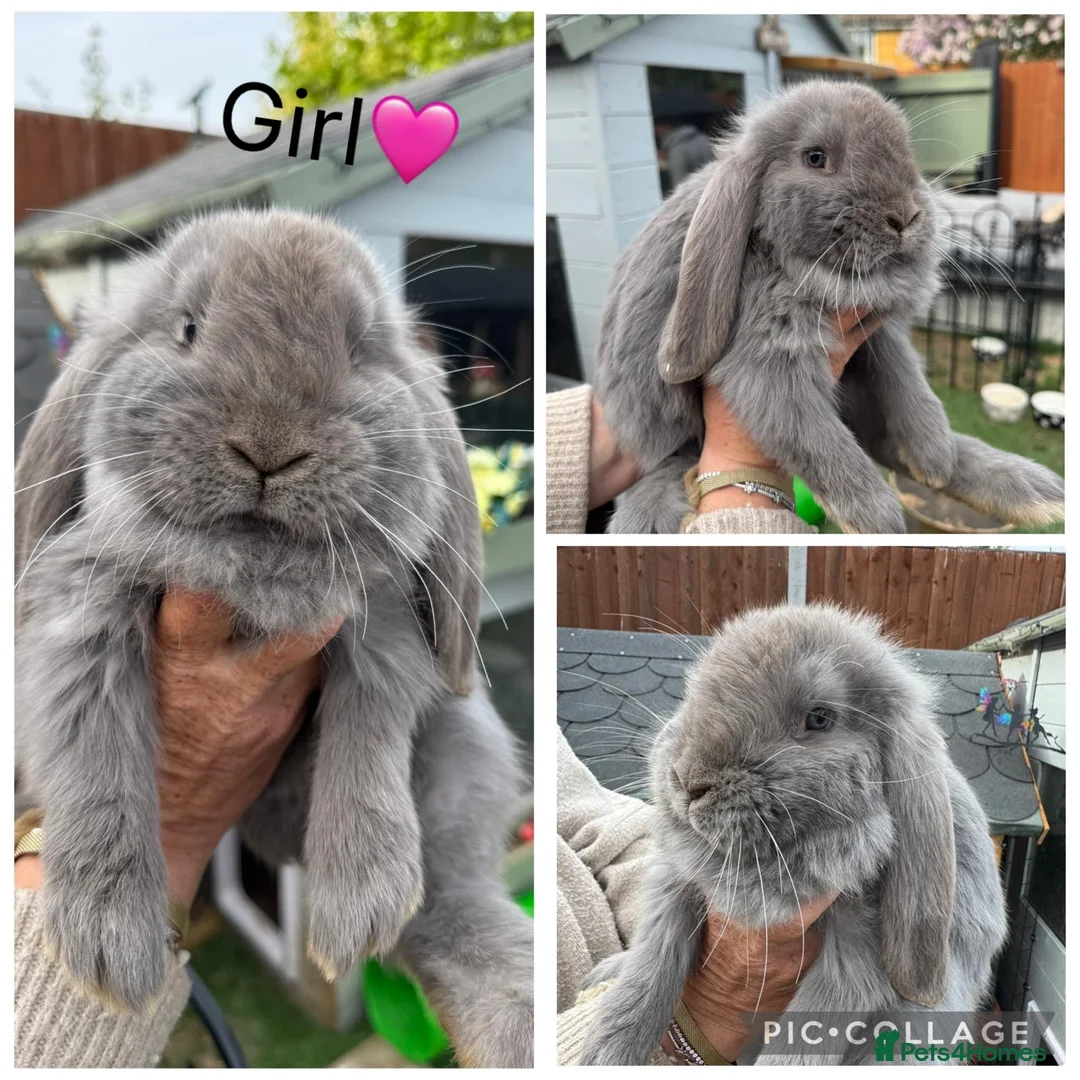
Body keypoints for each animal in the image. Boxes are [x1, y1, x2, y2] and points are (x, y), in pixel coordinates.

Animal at [14, 209, 532, 1066]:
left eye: (359, 349)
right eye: (187, 329)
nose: (269, 448)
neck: (252, 578)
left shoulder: (380, 631)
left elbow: (366, 746)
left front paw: (356, 906)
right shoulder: (82, 616)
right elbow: (99, 762)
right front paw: (108, 945)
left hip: (464, 756)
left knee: (447, 905)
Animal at [576, 603, 1008, 1066]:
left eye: (819, 718)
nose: (689, 781)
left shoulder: (858, 956)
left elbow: (805, 1037)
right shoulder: (676, 889)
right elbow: (647, 972)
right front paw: (604, 1054)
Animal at [597, 80, 1065, 534]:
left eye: (908, 153)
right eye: (815, 157)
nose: (905, 216)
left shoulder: (876, 336)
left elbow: (910, 384)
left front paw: (934, 457)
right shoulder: (766, 363)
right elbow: (815, 436)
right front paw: (876, 519)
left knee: (884, 440)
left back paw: (1031, 489)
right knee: (678, 459)